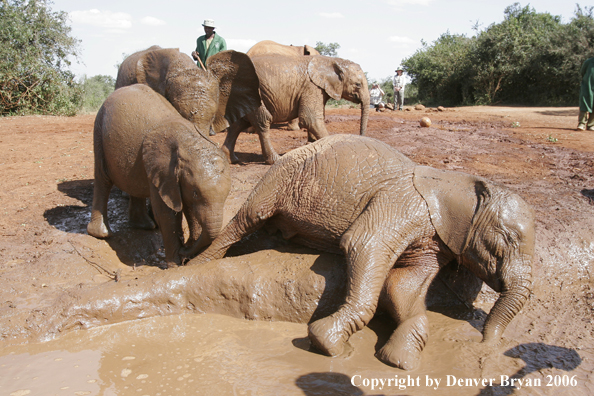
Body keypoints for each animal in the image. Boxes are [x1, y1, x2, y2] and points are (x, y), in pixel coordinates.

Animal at [88, 84, 231, 268]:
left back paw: (144, 226)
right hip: (99, 130)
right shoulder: (163, 171)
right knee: (103, 179)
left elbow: (189, 210)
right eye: (195, 193)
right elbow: (166, 213)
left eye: (227, 196)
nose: (185, 249)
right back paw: (102, 234)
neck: (190, 142)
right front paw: (175, 265)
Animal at [192, 135, 536, 370]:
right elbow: (365, 243)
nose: (485, 344)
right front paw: (331, 347)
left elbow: (402, 284)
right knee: (248, 218)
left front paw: (400, 362)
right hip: (280, 176)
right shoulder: (403, 201)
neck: (459, 183)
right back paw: (193, 263)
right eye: (506, 239)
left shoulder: (435, 241)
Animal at [222, 54, 370, 164]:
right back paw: (275, 160)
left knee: (238, 124)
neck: (331, 60)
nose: (362, 139)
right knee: (263, 121)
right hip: (254, 93)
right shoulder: (312, 87)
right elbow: (310, 119)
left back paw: (231, 159)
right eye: (358, 84)